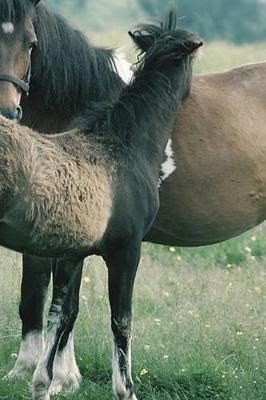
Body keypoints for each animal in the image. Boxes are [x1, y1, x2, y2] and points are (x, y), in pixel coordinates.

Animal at [0, 13, 200, 400]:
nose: (191, 97)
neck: (121, 144)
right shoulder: (127, 250)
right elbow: (121, 320)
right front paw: (126, 389)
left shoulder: (71, 252)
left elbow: (61, 314)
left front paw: (45, 383)